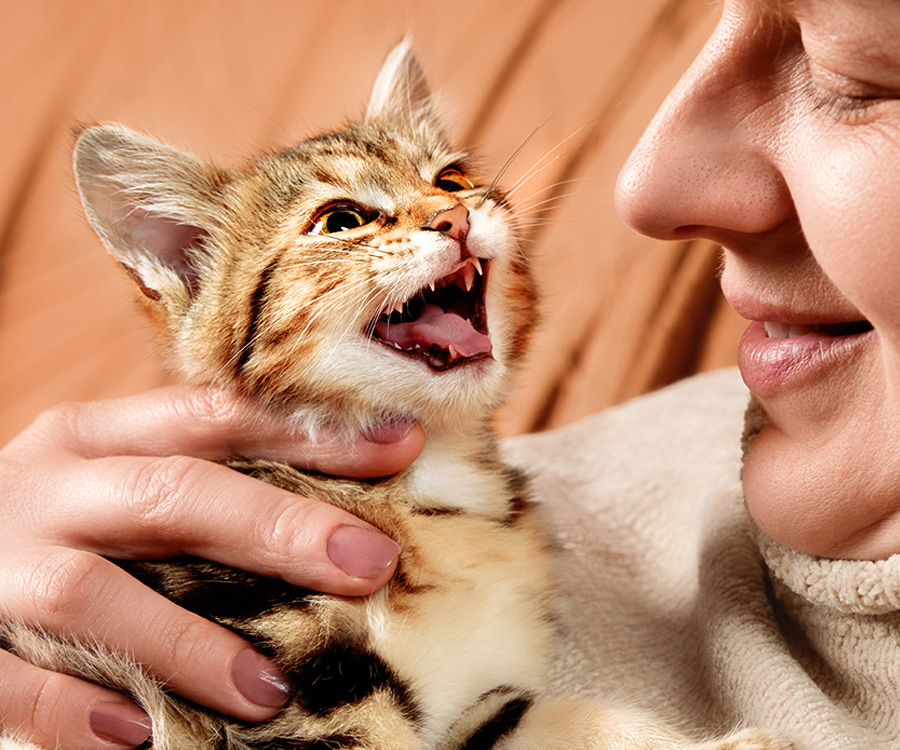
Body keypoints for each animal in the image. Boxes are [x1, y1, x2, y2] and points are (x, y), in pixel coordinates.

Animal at [0, 42, 788, 750]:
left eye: (454, 177)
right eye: (342, 221)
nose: (455, 217)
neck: (434, 479)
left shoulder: (480, 703)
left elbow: (568, 718)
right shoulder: (288, 678)